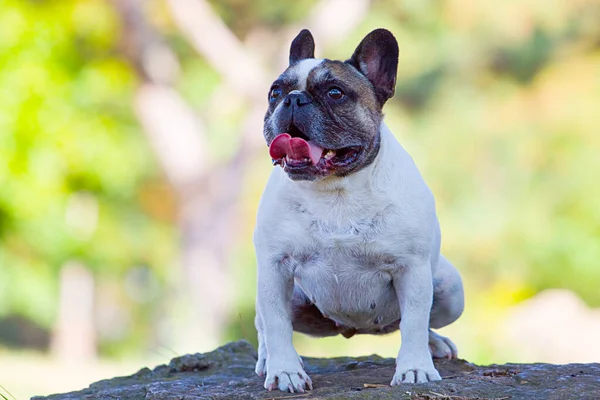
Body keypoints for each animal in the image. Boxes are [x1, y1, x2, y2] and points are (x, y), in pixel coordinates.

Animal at [253, 28, 464, 394]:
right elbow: (276, 324)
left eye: (335, 93)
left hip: (450, 288)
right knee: (263, 323)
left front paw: (415, 368)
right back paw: (267, 360)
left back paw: (433, 344)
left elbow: (414, 321)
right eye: (275, 93)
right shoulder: (274, 267)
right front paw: (285, 372)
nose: (293, 99)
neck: (336, 191)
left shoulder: (412, 269)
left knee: (415, 322)